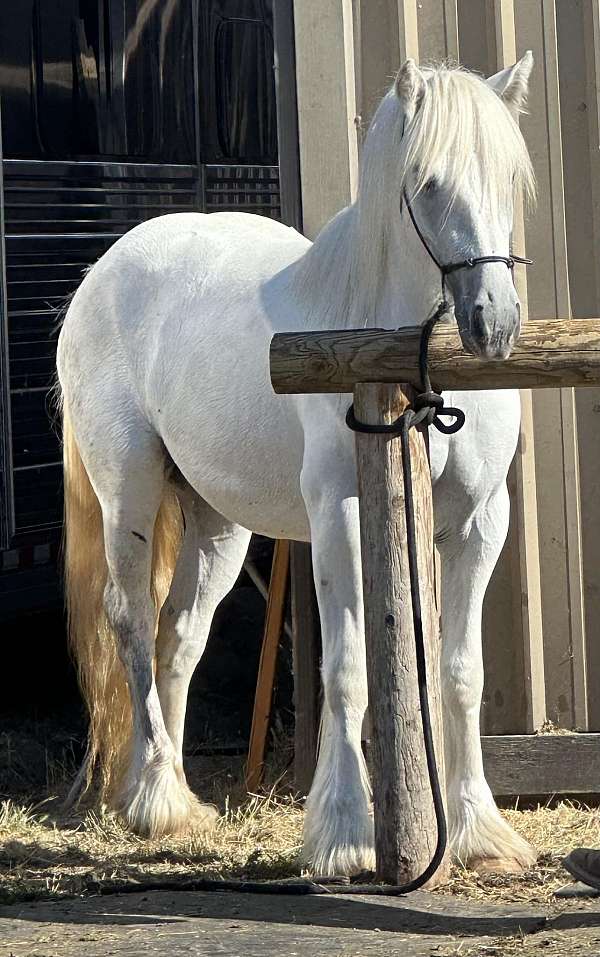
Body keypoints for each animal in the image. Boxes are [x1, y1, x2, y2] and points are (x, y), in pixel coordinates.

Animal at [57, 52, 536, 872]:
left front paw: (480, 831)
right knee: (131, 621)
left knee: (180, 635)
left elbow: (459, 674)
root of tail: (105, 269)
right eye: (427, 182)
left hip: (218, 524)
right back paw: (156, 800)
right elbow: (345, 670)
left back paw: (177, 799)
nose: (492, 323)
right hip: (130, 492)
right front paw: (344, 835)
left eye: (507, 175)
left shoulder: (479, 526)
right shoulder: (340, 515)